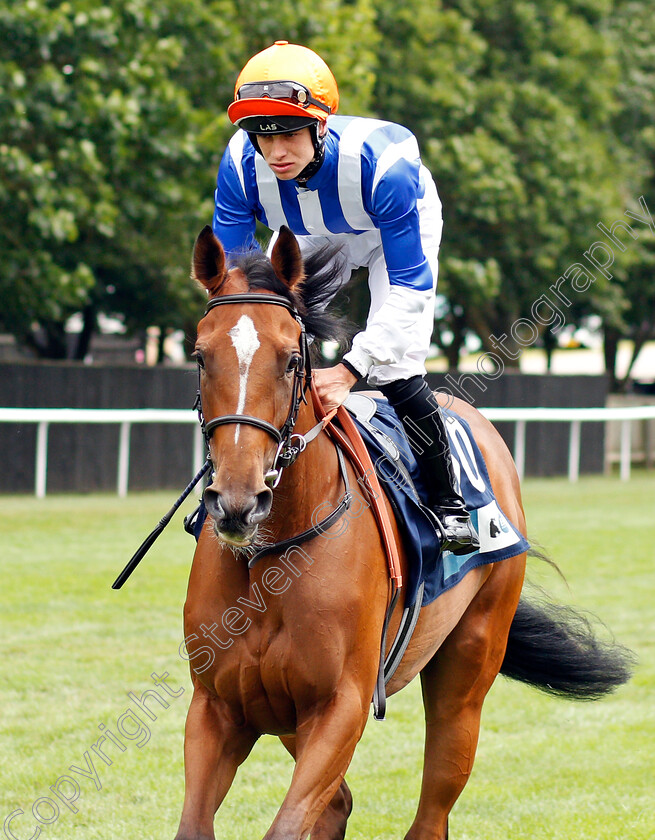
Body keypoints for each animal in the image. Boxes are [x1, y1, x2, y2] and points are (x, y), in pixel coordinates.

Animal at [178, 225, 636, 840]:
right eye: (201, 356)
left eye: (292, 359)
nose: (237, 501)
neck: (271, 557)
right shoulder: (218, 706)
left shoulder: (341, 706)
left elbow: (289, 824)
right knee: (339, 804)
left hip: (468, 669)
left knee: (434, 806)